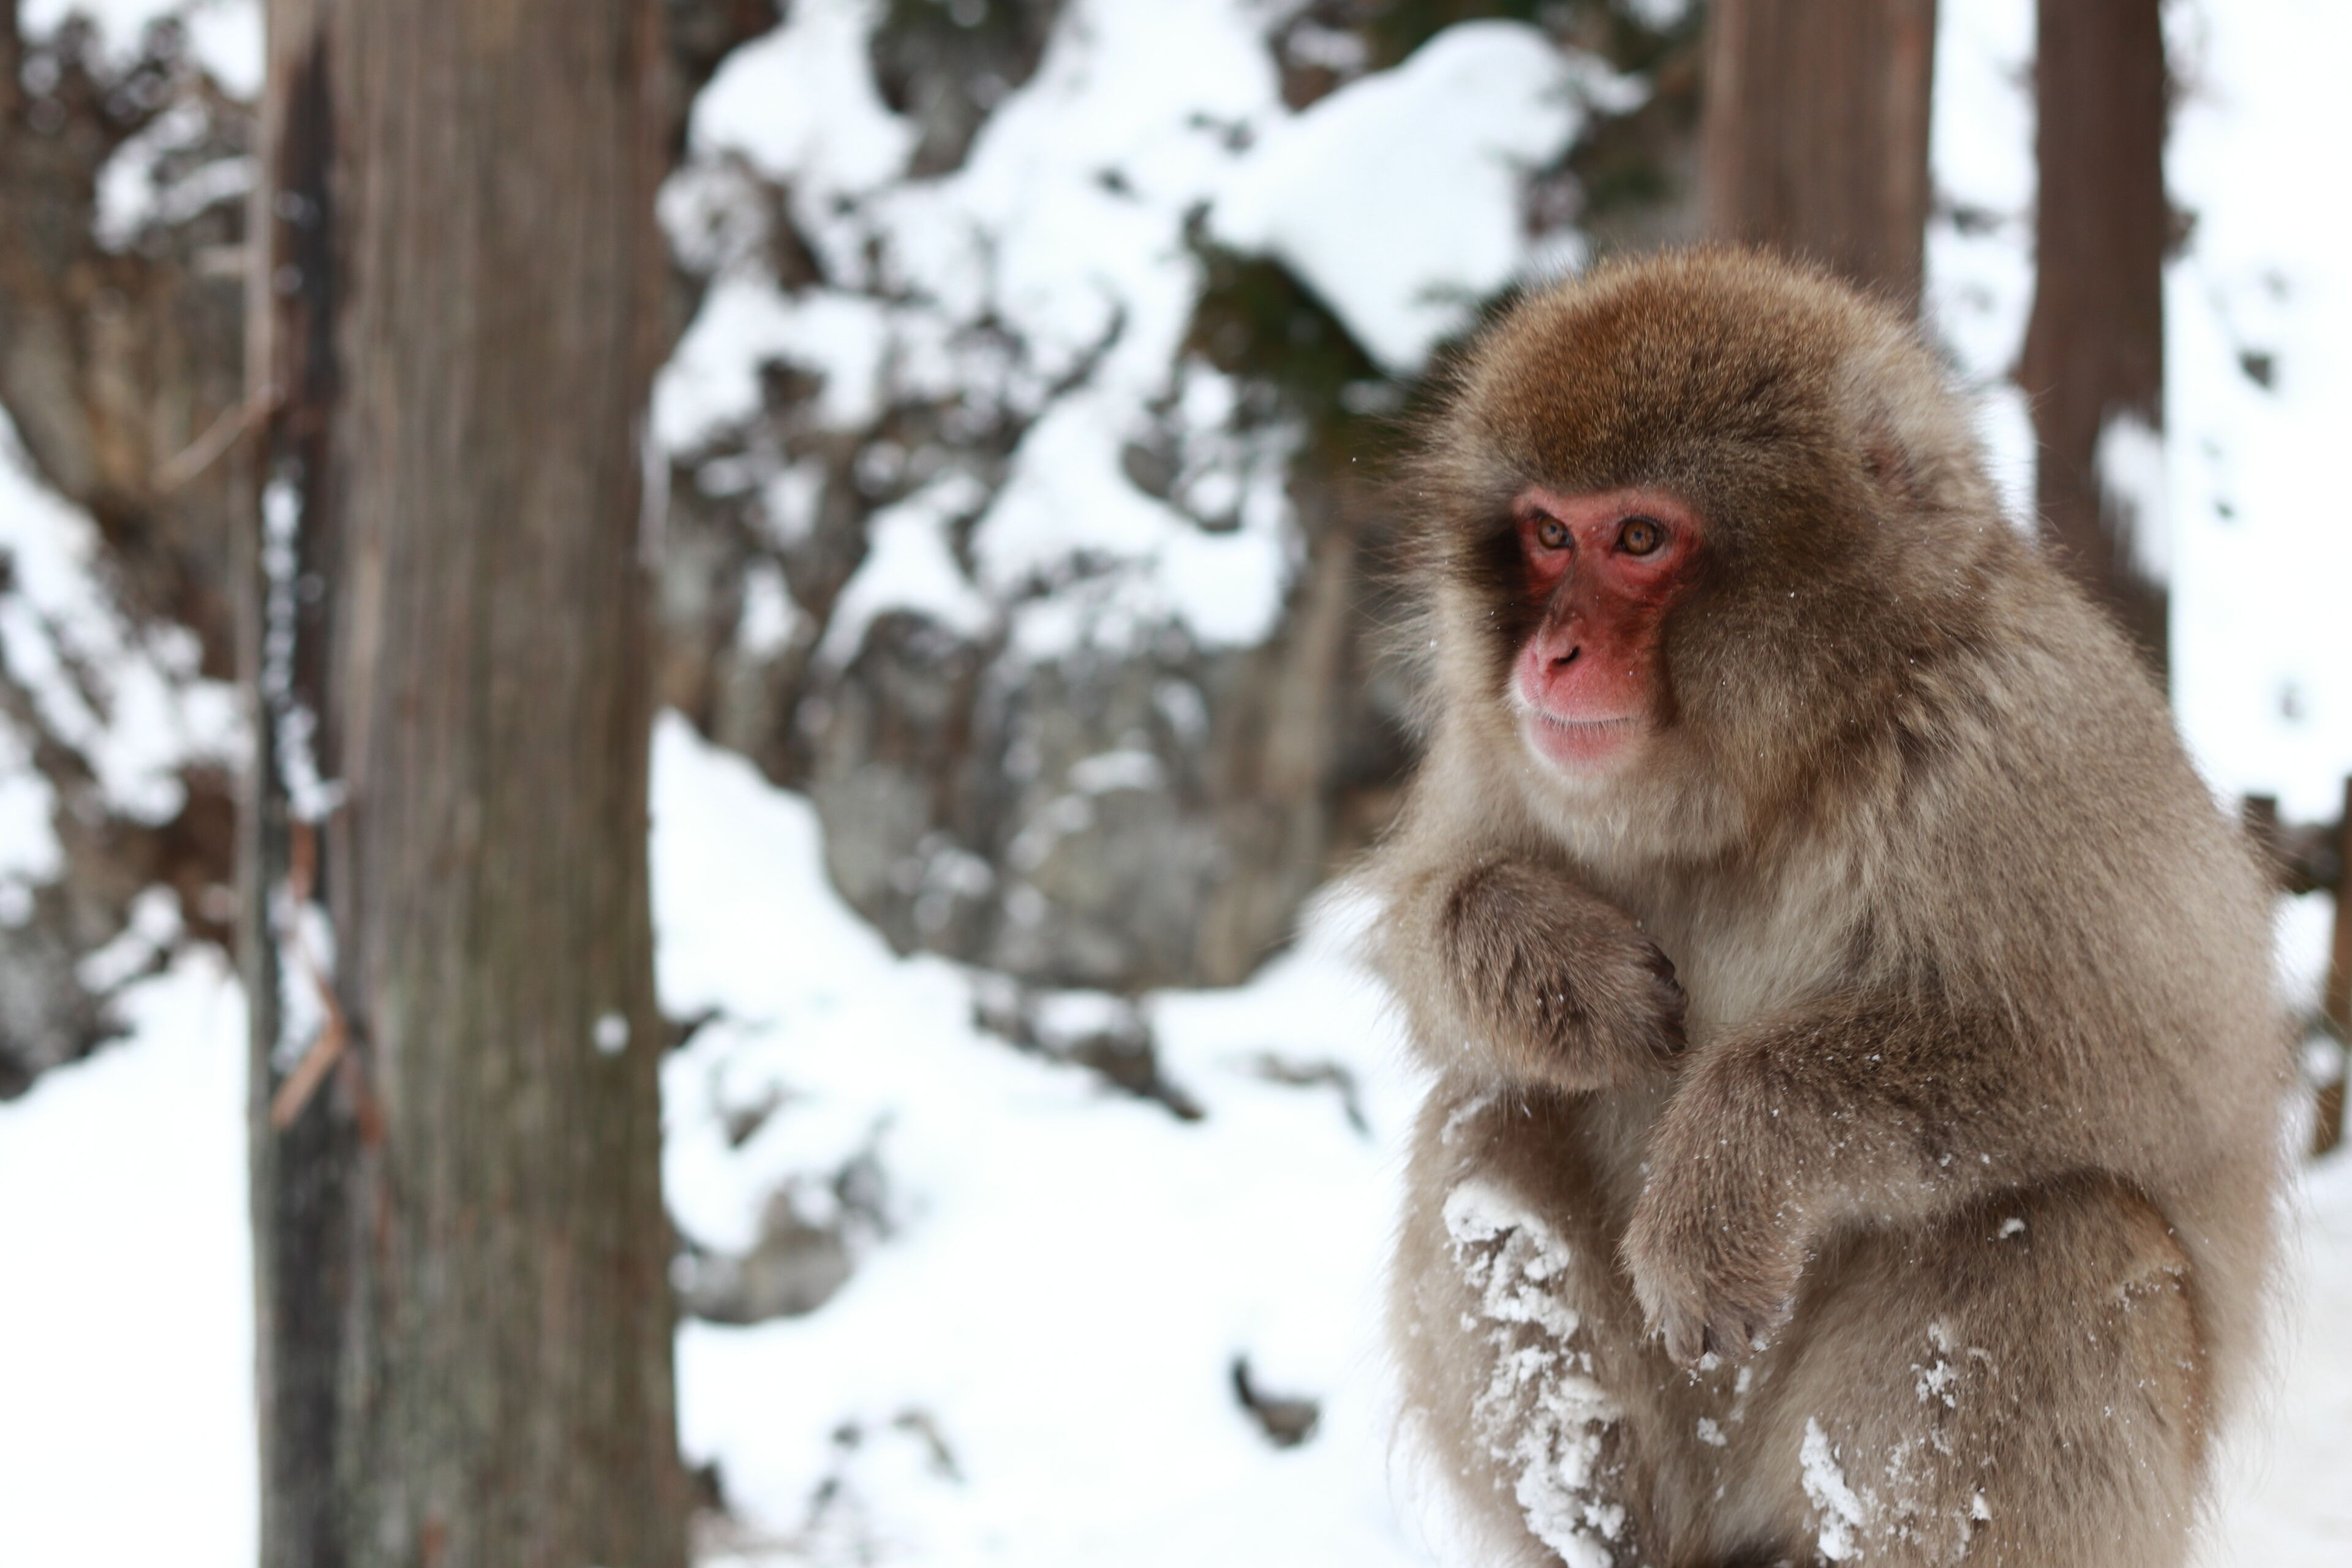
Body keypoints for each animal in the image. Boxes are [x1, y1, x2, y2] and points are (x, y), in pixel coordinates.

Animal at [1365, 249, 2290, 1568]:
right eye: (1547, 534)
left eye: (1638, 537)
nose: (1549, 658)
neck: (1789, 761)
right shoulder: (1508, 749)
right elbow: (1422, 923)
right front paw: (1559, 970)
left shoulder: (2020, 743)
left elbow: (2161, 1070)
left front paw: (1728, 1165)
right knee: (1484, 1109)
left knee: (2059, 1227)